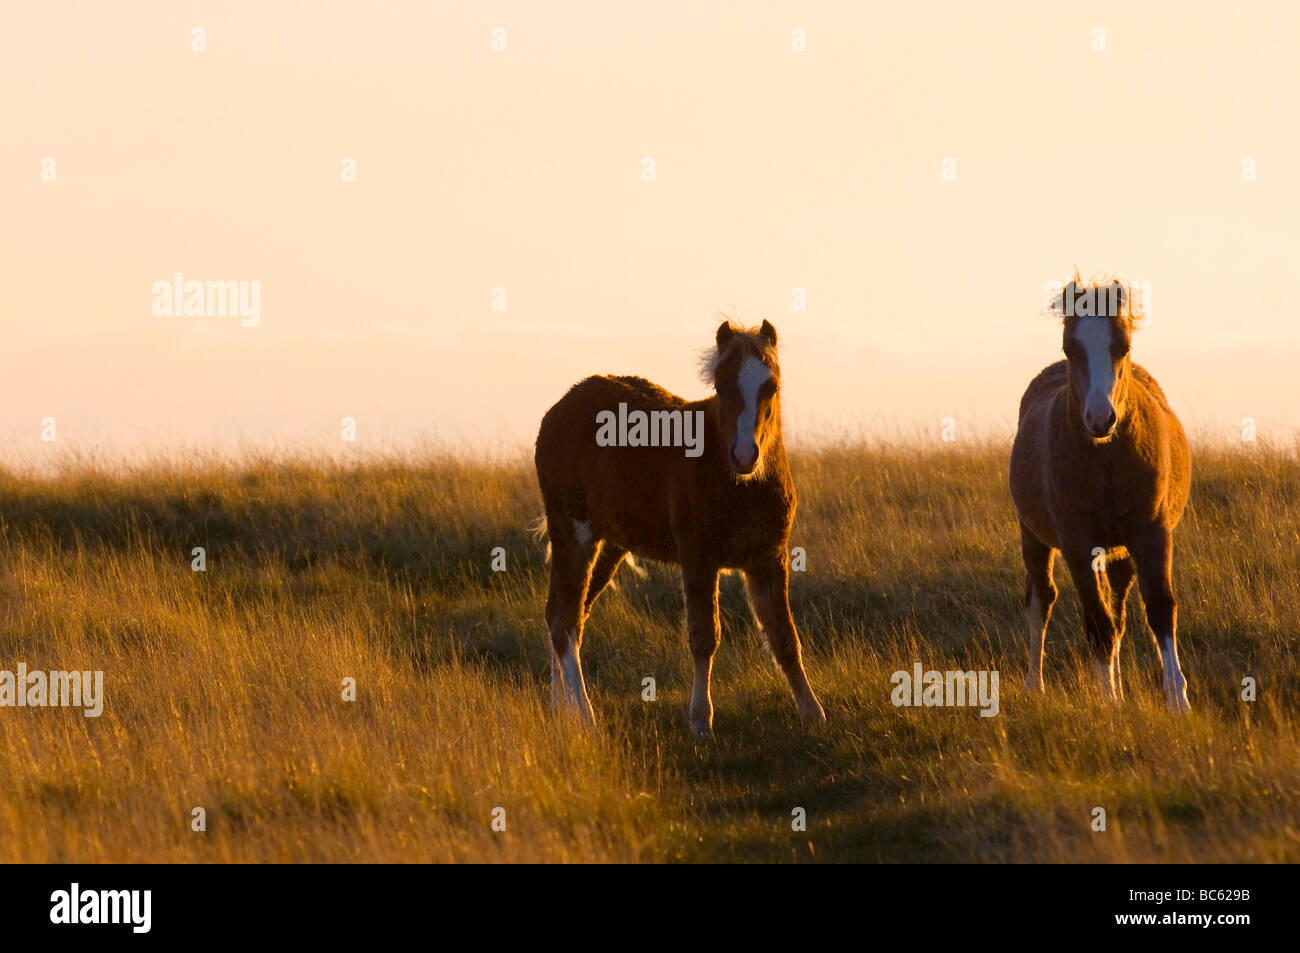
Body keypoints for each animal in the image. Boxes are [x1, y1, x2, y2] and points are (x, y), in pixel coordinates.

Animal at [535, 319, 821, 738]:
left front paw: (812, 713)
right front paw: (701, 722)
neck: (737, 481)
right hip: (573, 531)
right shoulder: (698, 557)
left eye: (771, 385)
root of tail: (559, 409)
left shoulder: (769, 557)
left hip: (610, 543)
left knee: (567, 614)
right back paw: (586, 720)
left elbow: (784, 636)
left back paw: (562, 712)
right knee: (564, 620)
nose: (744, 455)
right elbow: (704, 637)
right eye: (720, 385)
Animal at [1008, 275, 1190, 707]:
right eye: (1070, 347)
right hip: (1033, 536)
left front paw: (1177, 699)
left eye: (1122, 345)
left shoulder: (1151, 533)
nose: (1100, 418)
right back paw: (1034, 685)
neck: (1106, 462)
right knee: (1041, 599)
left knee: (1119, 611)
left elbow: (1160, 609)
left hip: (1121, 553)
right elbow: (1097, 625)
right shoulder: (1077, 544)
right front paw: (1109, 703)